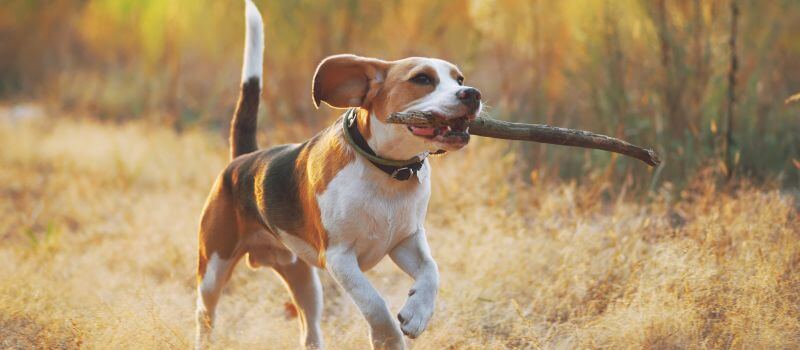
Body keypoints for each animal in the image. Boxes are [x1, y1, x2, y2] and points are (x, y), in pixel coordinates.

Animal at [195, 1, 484, 348]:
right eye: (422, 79)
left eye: (459, 79)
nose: (472, 93)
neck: (387, 171)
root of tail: (244, 159)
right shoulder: (340, 258)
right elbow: (374, 303)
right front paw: (388, 339)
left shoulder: (406, 240)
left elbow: (431, 270)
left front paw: (418, 312)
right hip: (213, 270)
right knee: (205, 317)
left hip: (305, 282)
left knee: (309, 329)